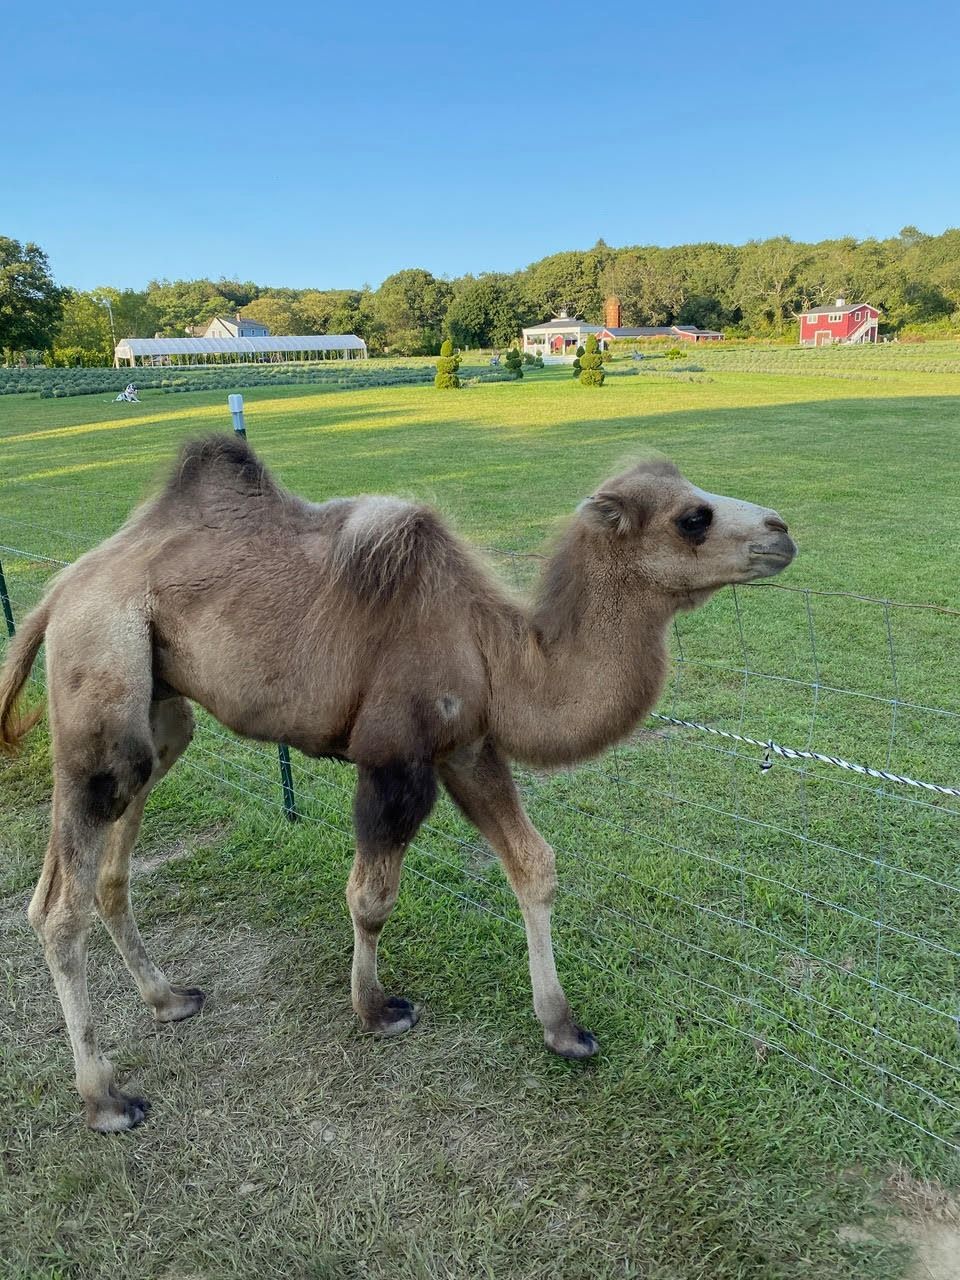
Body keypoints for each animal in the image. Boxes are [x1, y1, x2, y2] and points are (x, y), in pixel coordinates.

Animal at [0, 434, 796, 1132]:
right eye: (692, 517)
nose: (783, 530)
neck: (498, 651)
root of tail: (61, 589)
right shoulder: (395, 760)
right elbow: (371, 895)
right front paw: (377, 1011)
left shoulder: (467, 748)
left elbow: (532, 865)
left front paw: (565, 1029)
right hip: (101, 671)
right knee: (60, 902)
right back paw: (106, 1098)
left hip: (158, 709)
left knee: (113, 859)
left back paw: (168, 998)